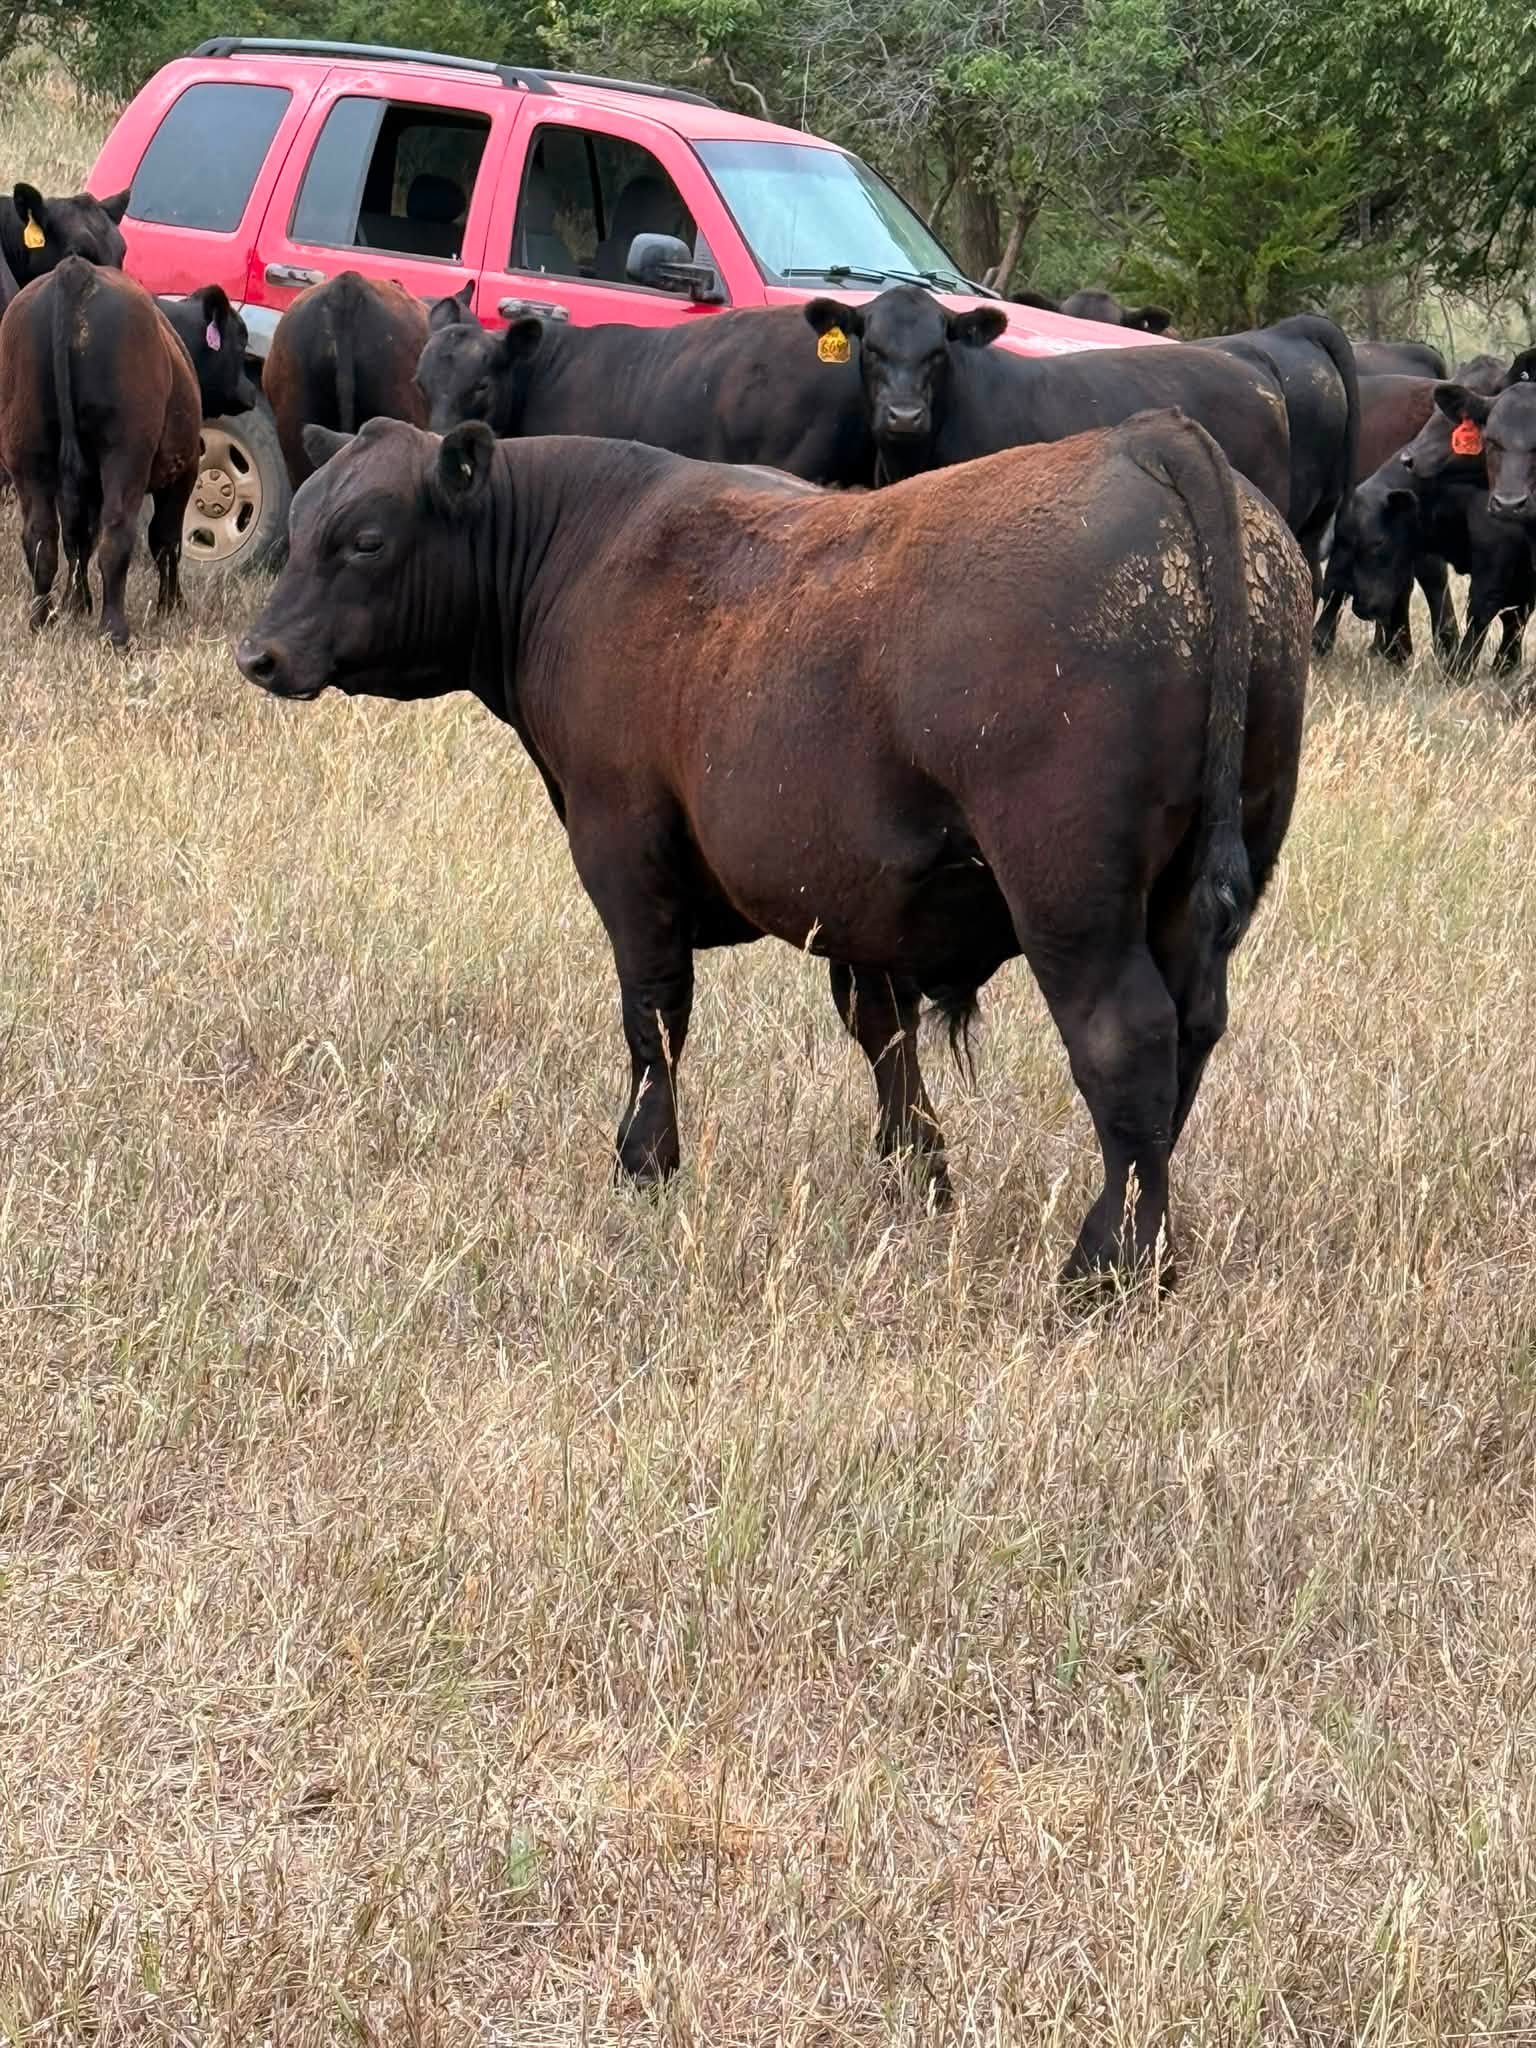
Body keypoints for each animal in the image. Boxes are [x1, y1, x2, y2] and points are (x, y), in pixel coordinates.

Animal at [0, 259, 246, 647]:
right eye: (241, 340)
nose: (250, 391)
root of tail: (75, 271)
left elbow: (78, 539)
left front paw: (76, 603)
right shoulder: (185, 469)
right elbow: (166, 540)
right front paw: (171, 605)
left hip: (28, 451)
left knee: (42, 535)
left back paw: (43, 619)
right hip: (124, 455)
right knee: (116, 536)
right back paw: (115, 631)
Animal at [235, 409, 1310, 1285]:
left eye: (365, 539)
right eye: (300, 531)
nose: (259, 653)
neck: (581, 547)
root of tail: (1148, 440)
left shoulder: (622, 843)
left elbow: (655, 1016)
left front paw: (644, 1162)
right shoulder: (864, 906)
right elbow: (884, 1034)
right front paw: (916, 1180)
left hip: (1070, 898)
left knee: (1125, 1044)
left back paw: (1102, 1268)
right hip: (1196, 890)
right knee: (1188, 1039)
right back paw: (1153, 1253)